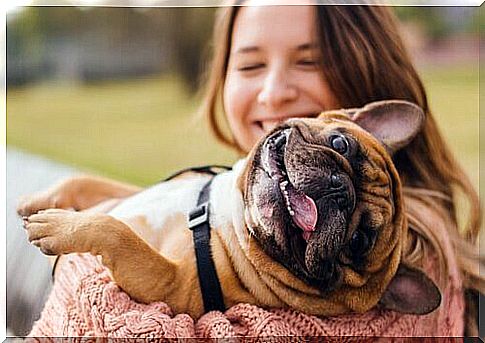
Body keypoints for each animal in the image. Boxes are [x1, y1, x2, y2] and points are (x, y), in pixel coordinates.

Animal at [18, 99, 438, 320]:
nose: (340, 191)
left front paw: (57, 227)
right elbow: (88, 183)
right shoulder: (137, 191)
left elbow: (117, 232)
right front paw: (39, 200)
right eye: (340, 143)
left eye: (359, 241)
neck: (229, 213)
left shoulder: (167, 283)